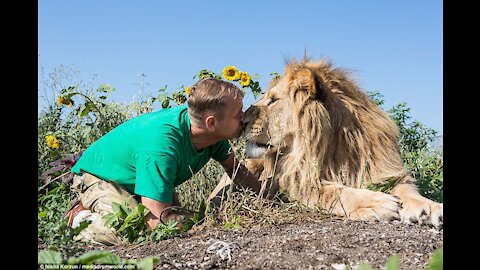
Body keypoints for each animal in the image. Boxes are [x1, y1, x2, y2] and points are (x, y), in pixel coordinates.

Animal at [212, 56, 444, 229]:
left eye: (273, 100)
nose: (242, 121)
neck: (333, 146)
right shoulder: (294, 183)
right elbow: (335, 191)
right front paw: (376, 203)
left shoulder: (385, 171)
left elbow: (408, 190)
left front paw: (432, 208)